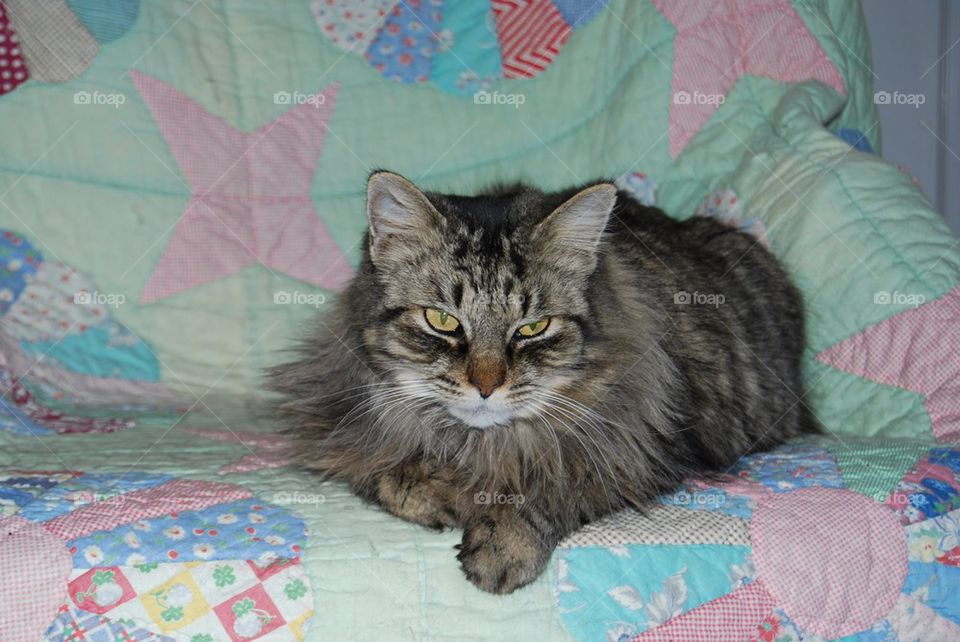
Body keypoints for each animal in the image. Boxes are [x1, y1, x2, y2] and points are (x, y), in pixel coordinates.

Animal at [270, 170, 816, 592]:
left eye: (533, 328)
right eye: (442, 321)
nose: (485, 386)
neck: (475, 444)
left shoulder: (634, 451)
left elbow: (551, 487)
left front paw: (503, 543)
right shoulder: (346, 423)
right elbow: (386, 474)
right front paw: (435, 491)